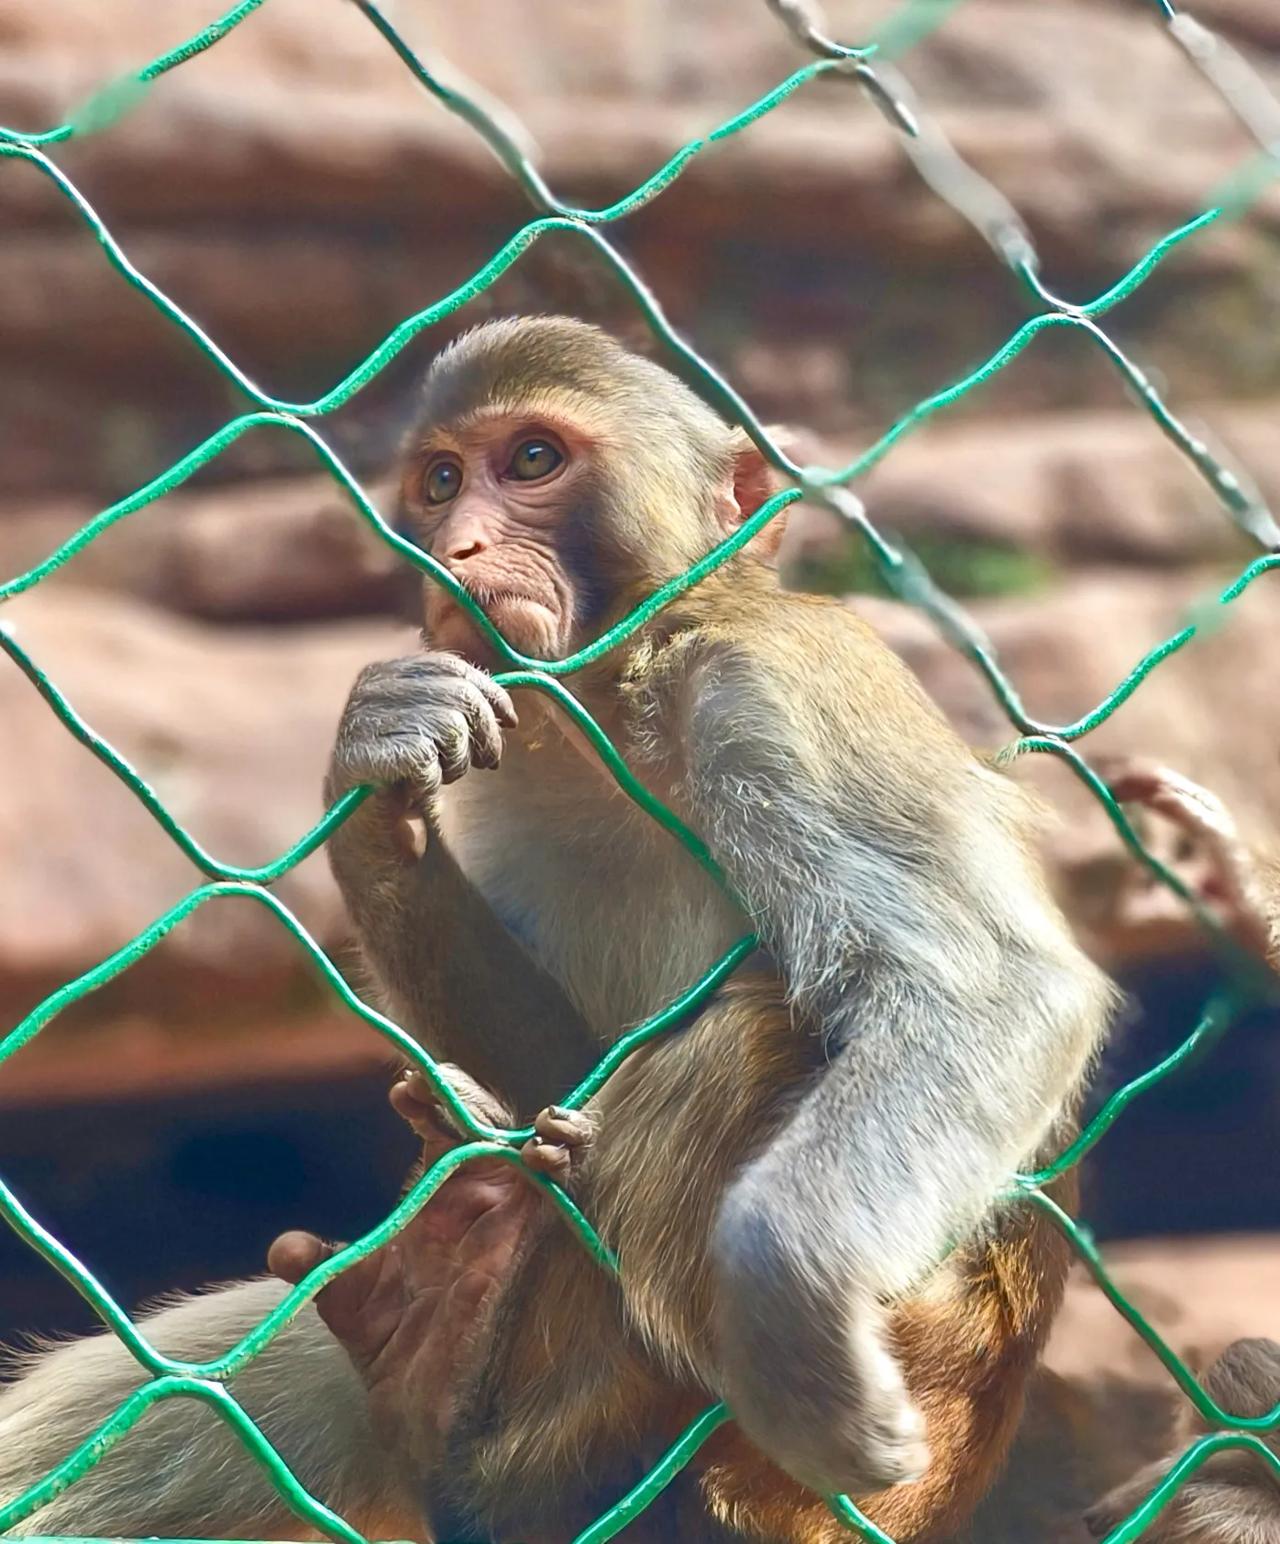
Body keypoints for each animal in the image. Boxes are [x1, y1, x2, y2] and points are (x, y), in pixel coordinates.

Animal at [0, 316, 1111, 1544]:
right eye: (440, 482)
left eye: (531, 461)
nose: (461, 544)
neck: (615, 704)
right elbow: (552, 1067)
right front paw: (377, 787)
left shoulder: (776, 680)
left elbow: (984, 984)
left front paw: (797, 1303)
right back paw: (429, 1351)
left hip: (901, 1401)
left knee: (750, 1034)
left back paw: (491, 1445)